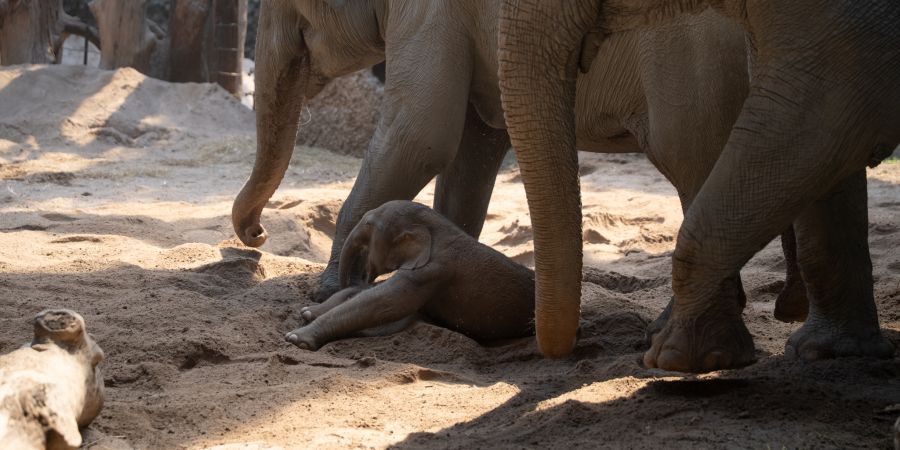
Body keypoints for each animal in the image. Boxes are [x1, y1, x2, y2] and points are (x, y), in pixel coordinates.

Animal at [284, 200, 535, 350]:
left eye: (369, 224)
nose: (364, 273)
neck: (438, 228)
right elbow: (372, 294)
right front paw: (308, 312)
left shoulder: (431, 272)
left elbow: (381, 303)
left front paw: (296, 338)